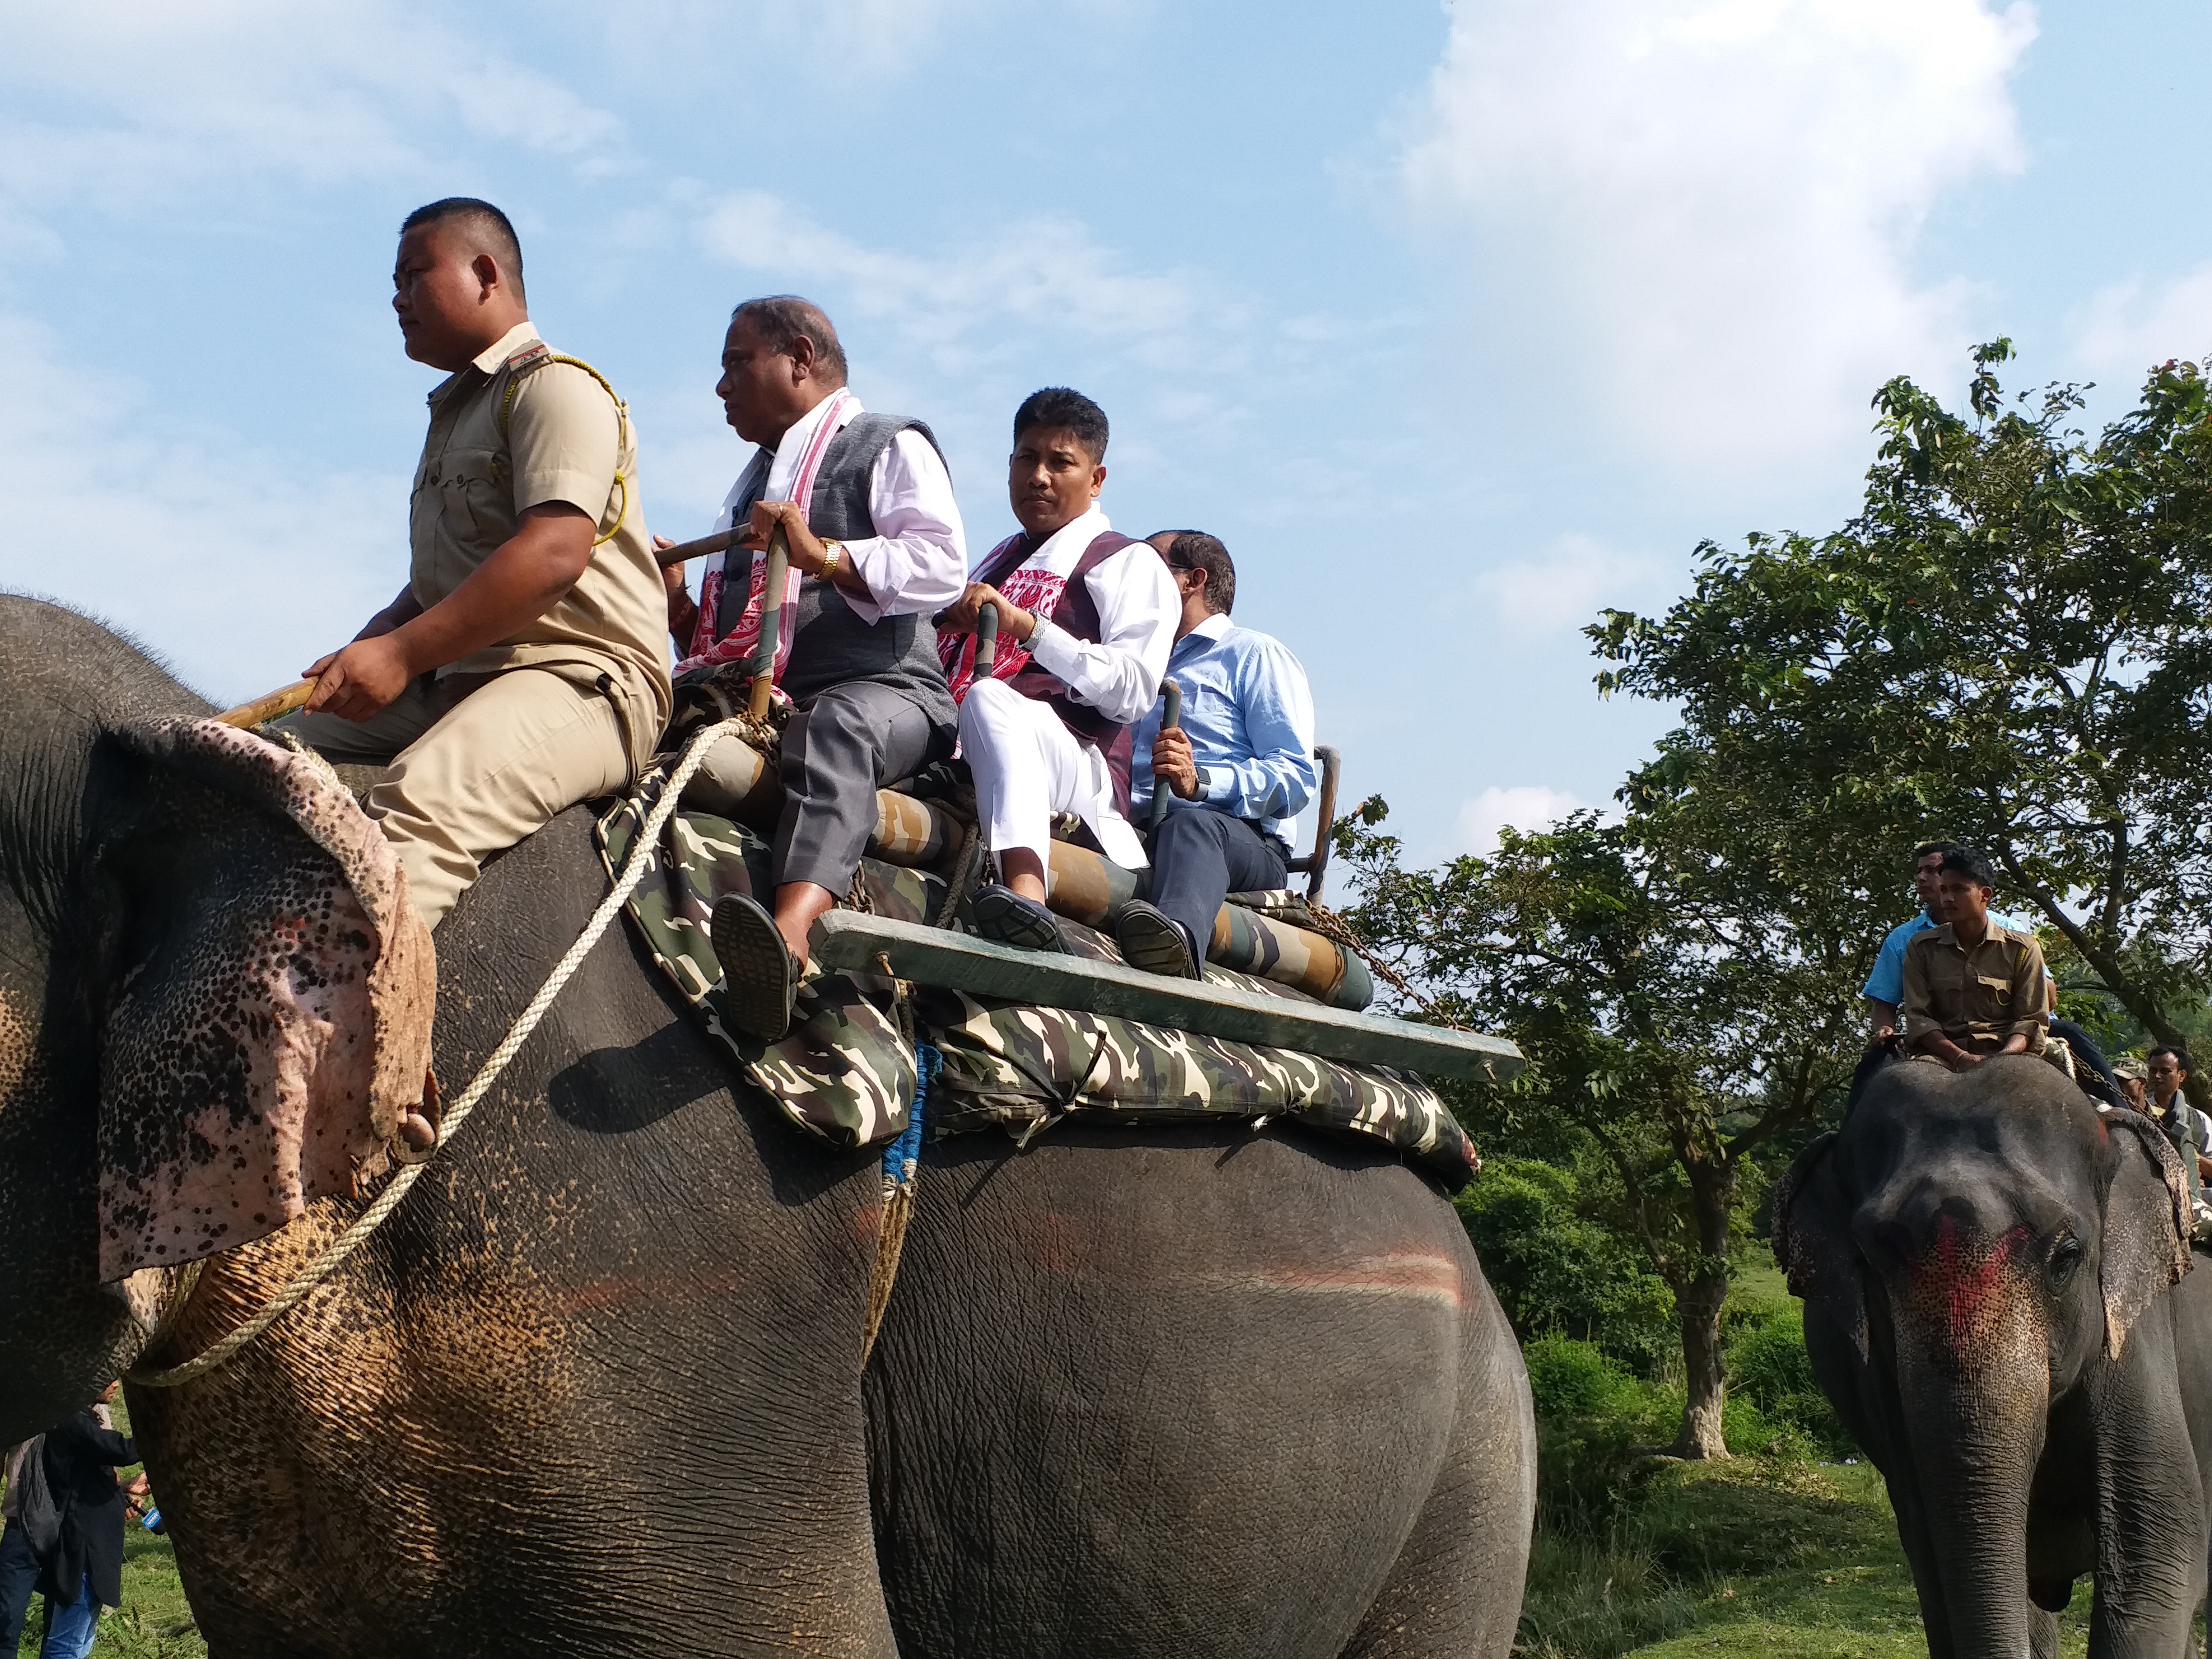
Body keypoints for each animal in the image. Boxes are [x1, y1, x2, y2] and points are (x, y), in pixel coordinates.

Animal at [1769, 1053, 2212, 1659]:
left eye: (2067, 1257)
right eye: (1869, 1260)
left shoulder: (2136, 1333)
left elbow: (2157, 1552)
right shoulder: (1883, 1391)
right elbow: (1937, 1567)